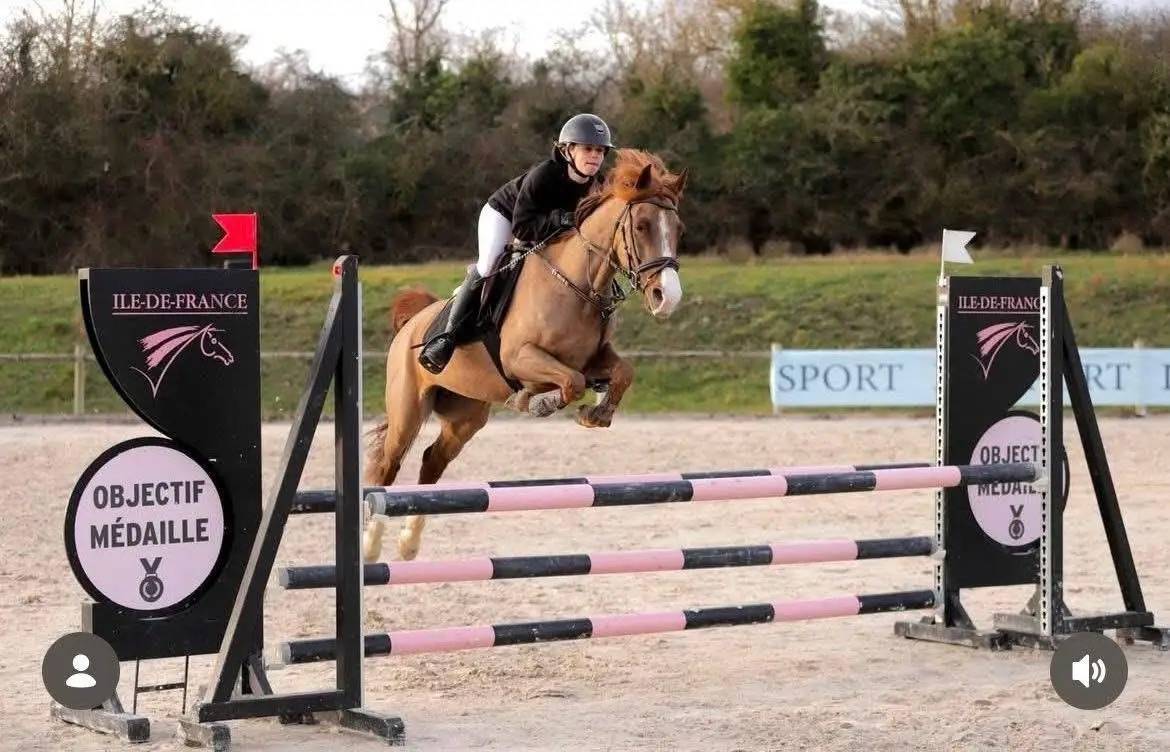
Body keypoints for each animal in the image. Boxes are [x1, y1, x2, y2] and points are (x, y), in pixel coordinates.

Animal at [363, 149, 689, 562]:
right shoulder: (521, 357)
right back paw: (371, 545)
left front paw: (595, 413)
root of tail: (413, 322)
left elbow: (620, 373)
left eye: (678, 230)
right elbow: (571, 382)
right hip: (408, 408)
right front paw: (539, 402)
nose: (668, 298)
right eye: (643, 226)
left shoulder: (593, 359)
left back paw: (408, 543)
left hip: (465, 415)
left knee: (431, 461)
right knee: (388, 466)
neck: (578, 284)